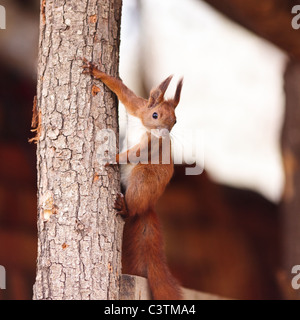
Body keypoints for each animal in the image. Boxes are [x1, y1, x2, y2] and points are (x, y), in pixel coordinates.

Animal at [83, 58, 184, 300]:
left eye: (175, 121)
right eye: (155, 115)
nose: (165, 133)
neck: (145, 126)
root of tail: (148, 206)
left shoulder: (151, 145)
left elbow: (135, 153)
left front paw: (113, 158)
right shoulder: (136, 106)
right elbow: (122, 91)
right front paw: (97, 72)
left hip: (142, 180)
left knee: (133, 206)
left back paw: (125, 207)